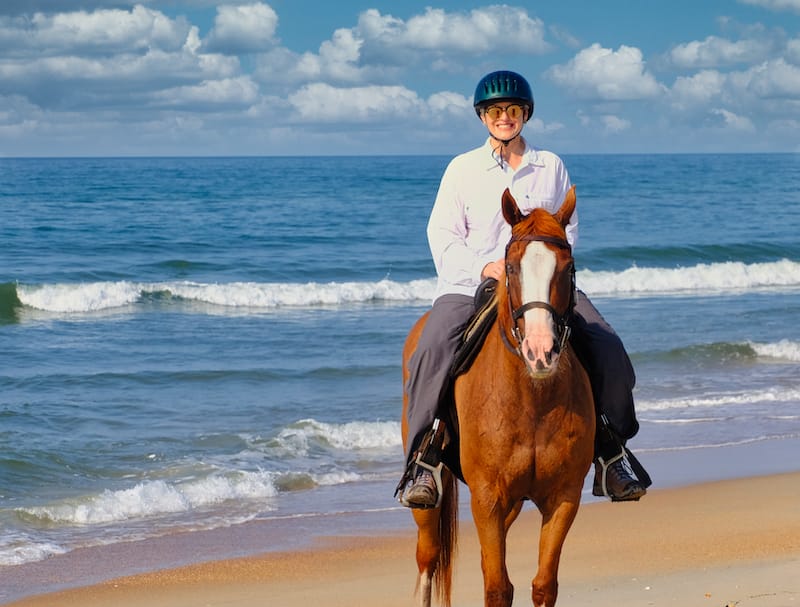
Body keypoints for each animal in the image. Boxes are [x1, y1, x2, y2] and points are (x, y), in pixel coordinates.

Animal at [400, 188, 592, 607]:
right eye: (511, 267)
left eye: (568, 266)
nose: (540, 351)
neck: (532, 401)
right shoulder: (487, 498)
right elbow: (497, 588)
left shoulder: (563, 497)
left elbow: (543, 585)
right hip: (431, 503)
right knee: (427, 558)